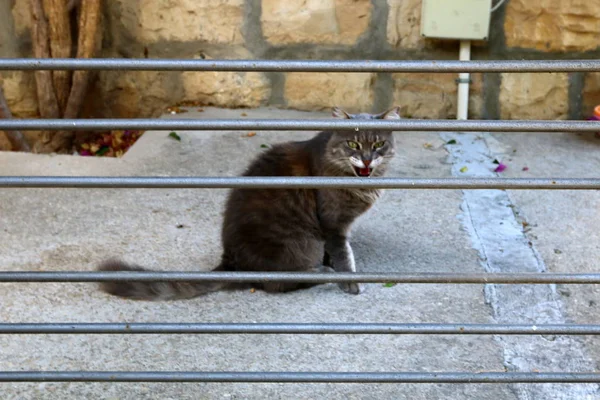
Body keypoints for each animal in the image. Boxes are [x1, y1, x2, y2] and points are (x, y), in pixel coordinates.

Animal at [99, 106, 398, 300]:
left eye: (378, 144)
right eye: (353, 144)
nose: (368, 159)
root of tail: (231, 261)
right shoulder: (333, 224)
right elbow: (344, 256)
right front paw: (351, 284)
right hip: (301, 243)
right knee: (279, 284)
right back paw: (320, 273)